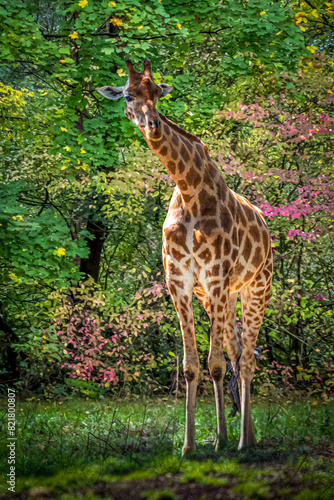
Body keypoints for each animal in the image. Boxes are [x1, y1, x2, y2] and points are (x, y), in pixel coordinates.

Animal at [98, 58, 272, 454]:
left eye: (157, 93)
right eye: (128, 95)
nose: (153, 126)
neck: (190, 190)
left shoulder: (216, 276)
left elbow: (214, 363)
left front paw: (221, 442)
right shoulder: (180, 281)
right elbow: (193, 365)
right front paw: (191, 446)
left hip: (256, 288)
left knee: (246, 359)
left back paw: (244, 442)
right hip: (217, 297)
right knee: (238, 351)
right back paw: (246, 434)